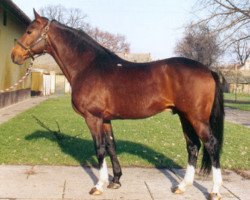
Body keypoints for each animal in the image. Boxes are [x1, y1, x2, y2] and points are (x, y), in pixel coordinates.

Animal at [10, 10, 224, 199]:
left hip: (196, 118)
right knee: (193, 146)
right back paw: (182, 186)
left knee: (211, 145)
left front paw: (99, 185)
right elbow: (111, 146)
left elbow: (99, 149)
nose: (14, 55)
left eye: (29, 31)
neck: (88, 67)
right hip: (184, 116)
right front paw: (116, 180)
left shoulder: (93, 118)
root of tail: (208, 70)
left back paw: (214, 191)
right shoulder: (105, 119)